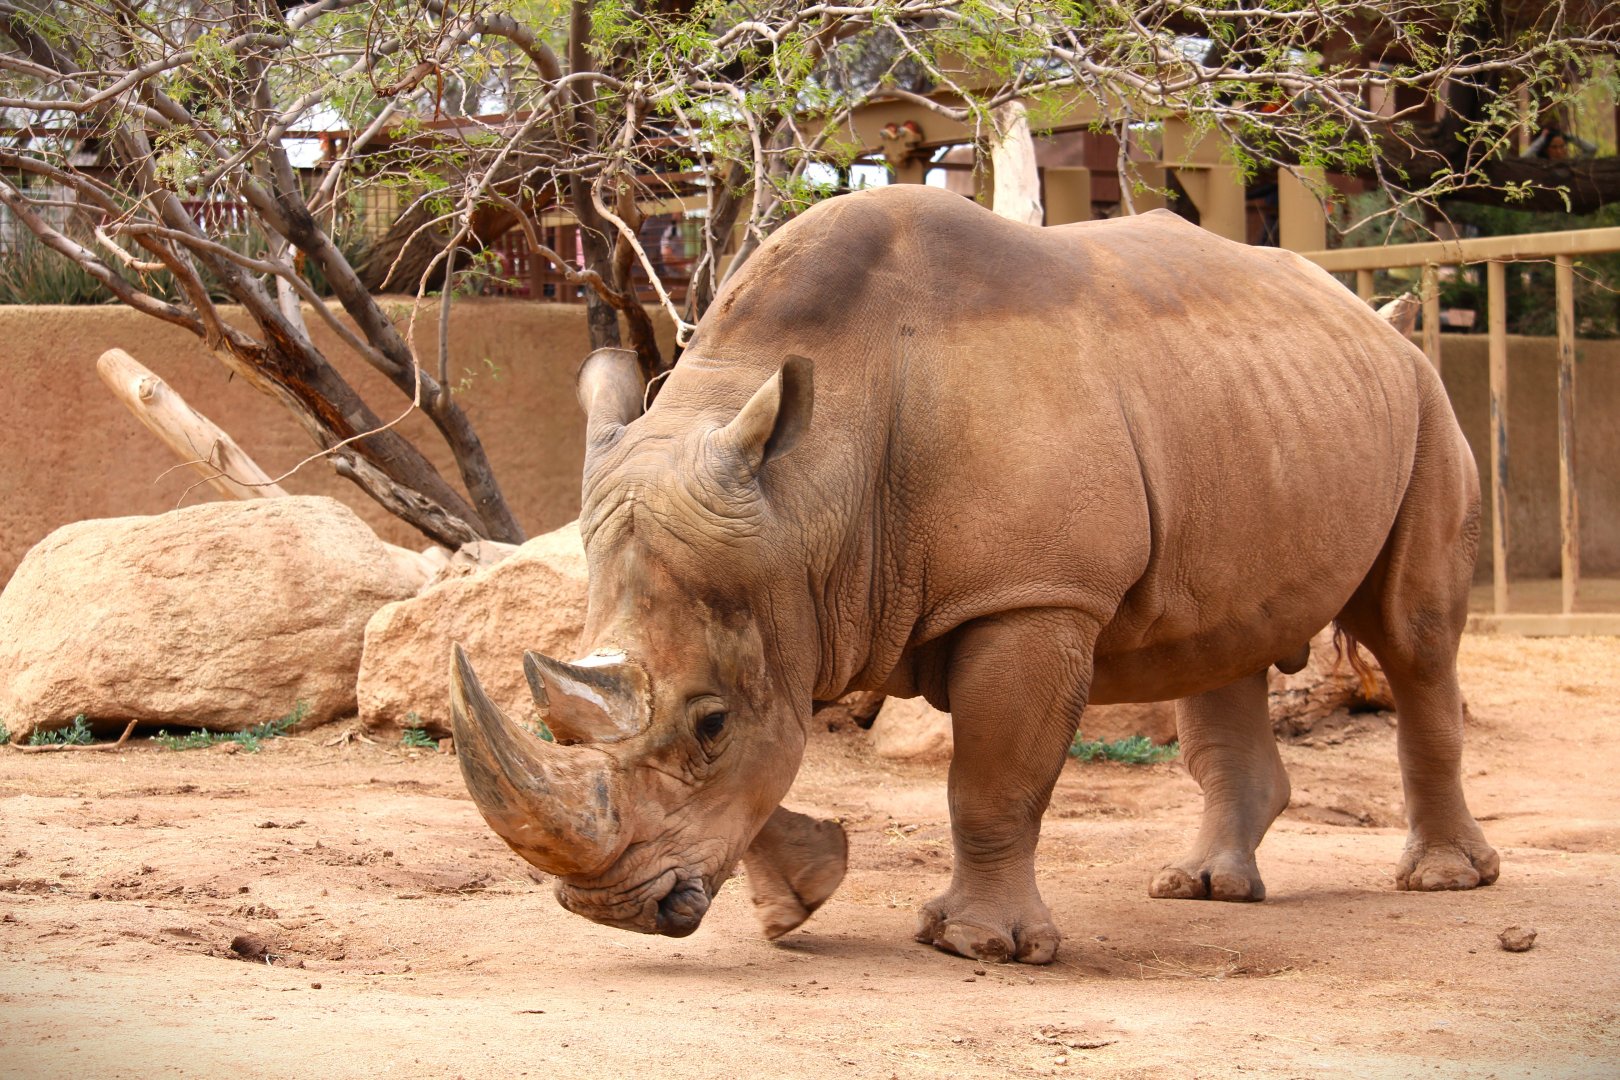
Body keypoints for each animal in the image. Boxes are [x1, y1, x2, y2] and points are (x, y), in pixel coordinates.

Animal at [449, 184, 1498, 965]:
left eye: (706, 725)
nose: (609, 910)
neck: (815, 489)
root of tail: (1373, 315)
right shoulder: (786, 596)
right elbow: (775, 748)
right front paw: (800, 902)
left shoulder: (1030, 596)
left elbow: (990, 779)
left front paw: (980, 945)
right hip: (1263, 405)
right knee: (1224, 640)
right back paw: (1205, 889)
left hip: (1424, 399)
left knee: (1414, 639)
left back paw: (1444, 881)